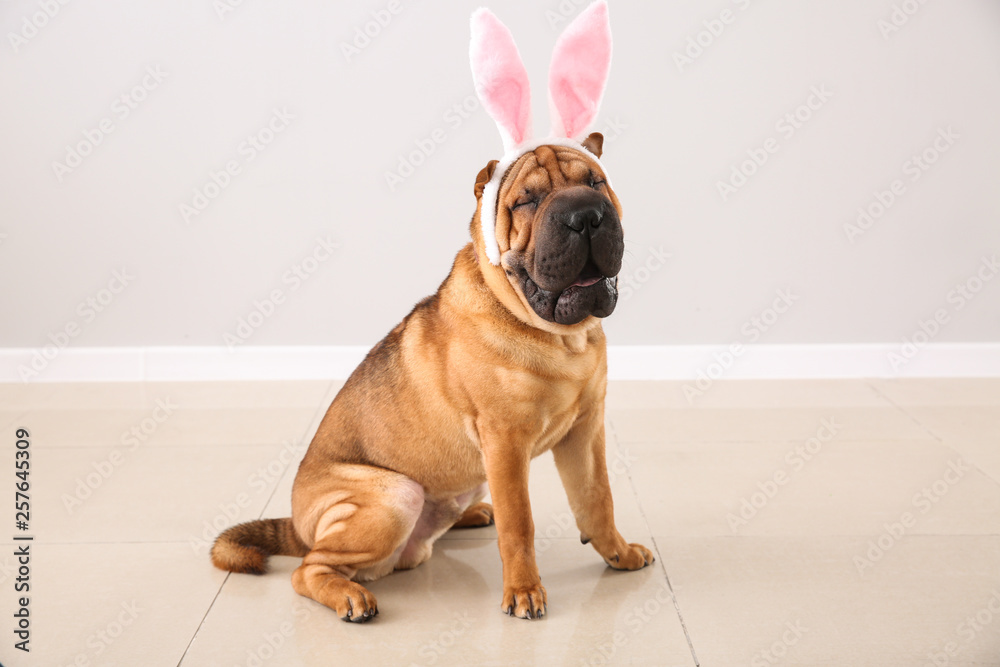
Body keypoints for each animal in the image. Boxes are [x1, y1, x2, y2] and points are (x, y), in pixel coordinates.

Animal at [212, 2, 652, 624]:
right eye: (527, 200)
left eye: (597, 182)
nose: (586, 215)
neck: (557, 336)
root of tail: (298, 525)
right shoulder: (505, 442)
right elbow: (521, 524)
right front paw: (524, 592)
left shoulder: (585, 431)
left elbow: (598, 499)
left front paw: (618, 553)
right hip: (393, 496)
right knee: (310, 568)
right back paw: (349, 595)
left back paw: (468, 513)